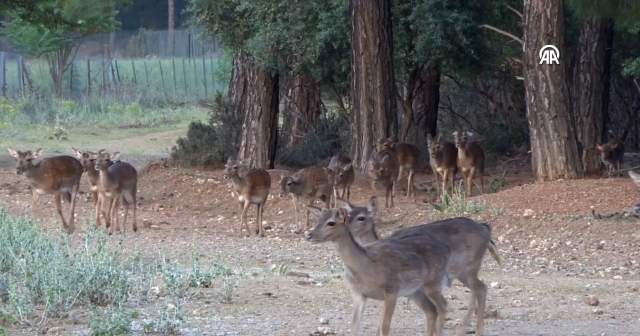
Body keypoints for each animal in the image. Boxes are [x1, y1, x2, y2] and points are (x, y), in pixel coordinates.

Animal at [306, 205, 450, 336]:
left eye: (331, 222)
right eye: (318, 220)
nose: (309, 236)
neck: (365, 269)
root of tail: (445, 249)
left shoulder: (392, 290)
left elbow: (385, 326)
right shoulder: (358, 293)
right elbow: (354, 325)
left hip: (433, 282)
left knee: (443, 306)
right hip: (415, 291)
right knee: (432, 311)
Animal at [342, 196, 502, 336]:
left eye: (361, 217)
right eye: (347, 215)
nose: (346, 229)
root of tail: (485, 228)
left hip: (469, 266)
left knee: (478, 289)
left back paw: (467, 331)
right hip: (463, 272)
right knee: (480, 288)